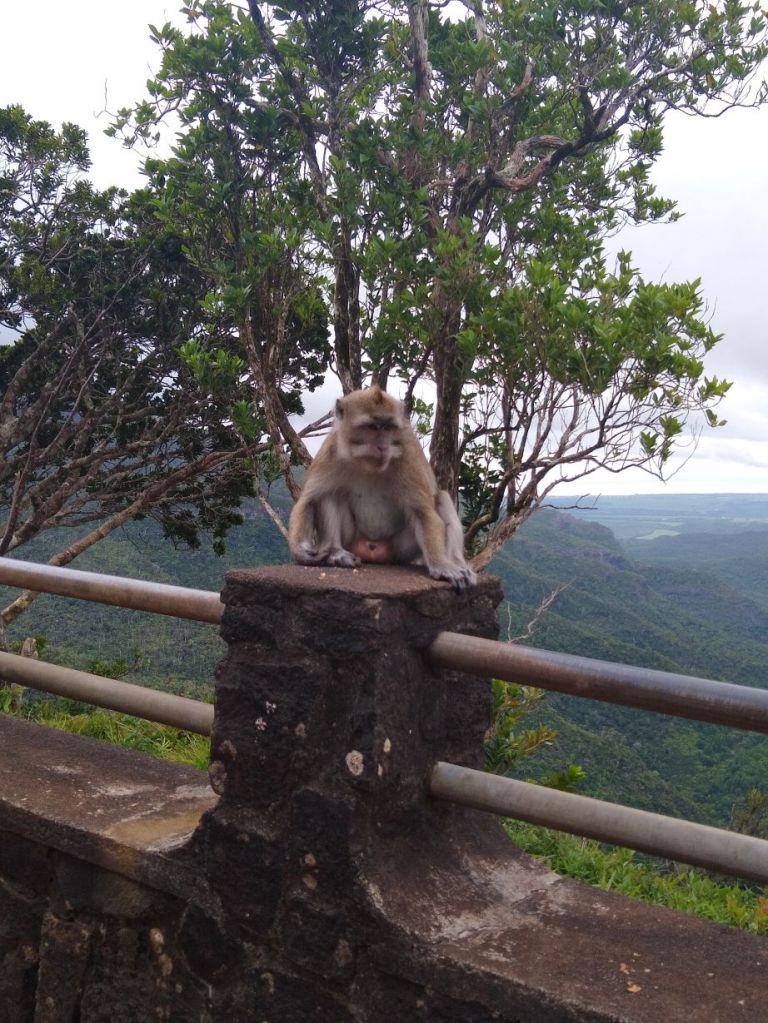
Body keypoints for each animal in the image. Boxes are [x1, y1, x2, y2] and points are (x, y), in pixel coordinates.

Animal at [288, 387, 477, 590]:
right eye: (371, 427)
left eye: (387, 427)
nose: (382, 446)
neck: (367, 464)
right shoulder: (331, 452)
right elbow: (309, 499)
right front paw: (301, 551)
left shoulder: (408, 455)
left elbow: (423, 512)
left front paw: (442, 565)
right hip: (352, 540)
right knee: (329, 494)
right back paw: (335, 552)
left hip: (399, 549)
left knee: (441, 498)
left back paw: (457, 563)